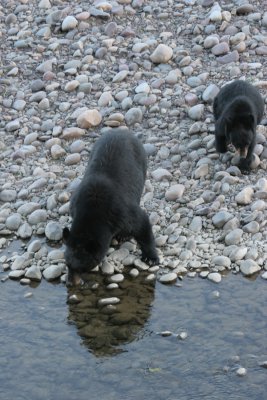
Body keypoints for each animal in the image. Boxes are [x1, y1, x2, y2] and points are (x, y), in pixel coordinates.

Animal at [62, 128, 159, 284]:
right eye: (67, 264)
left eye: (81, 267)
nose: (71, 282)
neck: (93, 211)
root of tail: (122, 130)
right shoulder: (75, 203)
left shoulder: (120, 211)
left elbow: (142, 223)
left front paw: (151, 258)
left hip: (143, 165)